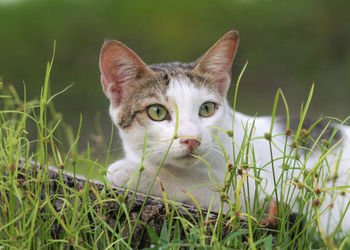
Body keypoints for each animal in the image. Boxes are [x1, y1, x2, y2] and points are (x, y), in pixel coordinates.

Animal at [98, 30, 350, 235]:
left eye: (207, 109)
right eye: (157, 112)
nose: (191, 139)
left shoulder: (270, 197)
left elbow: (205, 184)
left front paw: (135, 172)